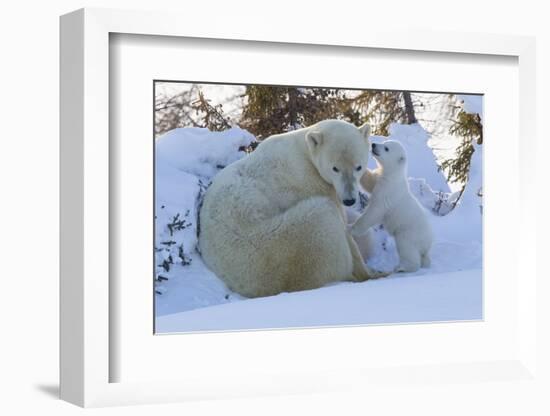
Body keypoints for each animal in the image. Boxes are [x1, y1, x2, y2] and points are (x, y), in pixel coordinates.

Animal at [199, 118, 388, 298]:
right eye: (335, 168)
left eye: (358, 166)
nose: (349, 200)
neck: (304, 151)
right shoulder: (310, 182)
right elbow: (343, 226)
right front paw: (370, 271)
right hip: (283, 240)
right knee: (324, 219)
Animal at [354, 140, 436, 272]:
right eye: (383, 143)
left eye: (386, 148)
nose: (373, 144)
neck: (393, 175)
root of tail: (428, 244)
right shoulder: (380, 179)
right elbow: (370, 182)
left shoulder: (388, 192)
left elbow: (374, 212)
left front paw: (352, 229)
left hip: (408, 232)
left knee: (406, 248)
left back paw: (402, 268)